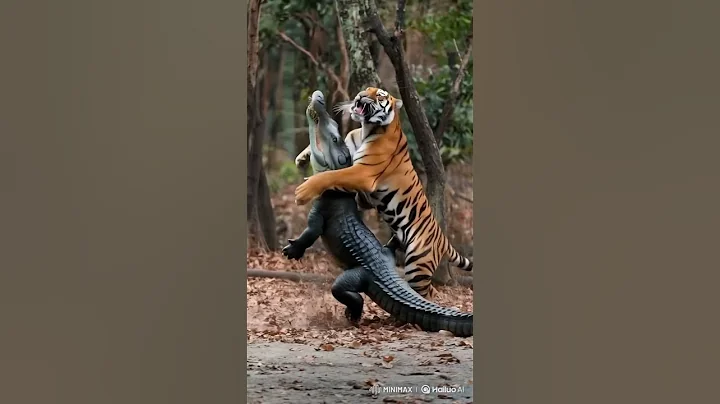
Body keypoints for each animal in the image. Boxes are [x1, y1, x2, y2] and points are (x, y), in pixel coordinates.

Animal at [294, 87, 473, 298]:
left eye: (379, 95)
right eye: (365, 90)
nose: (360, 96)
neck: (365, 130)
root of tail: (442, 239)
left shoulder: (363, 172)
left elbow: (333, 175)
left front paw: (303, 191)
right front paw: (301, 158)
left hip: (418, 266)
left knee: (429, 292)